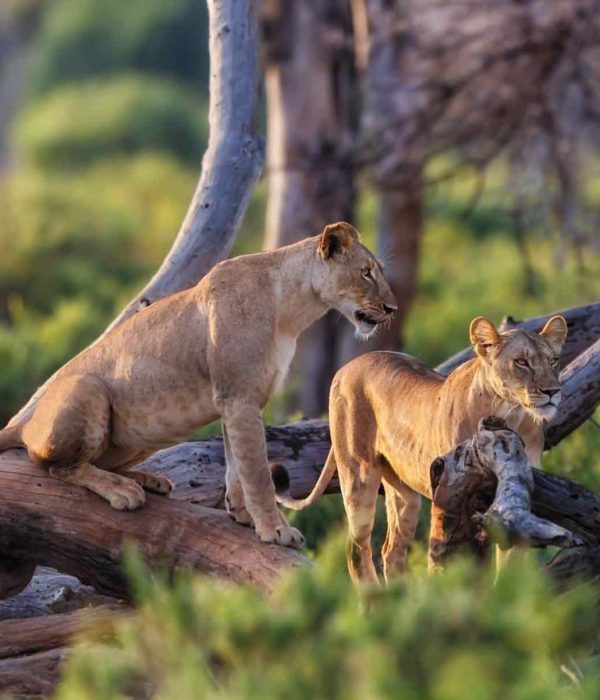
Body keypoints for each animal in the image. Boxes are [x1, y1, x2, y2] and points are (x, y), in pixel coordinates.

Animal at [0, 222, 396, 549]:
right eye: (365, 273)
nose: (392, 309)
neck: (292, 309)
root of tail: (22, 424)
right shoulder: (240, 398)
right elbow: (257, 471)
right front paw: (276, 529)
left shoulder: (236, 400)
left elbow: (236, 463)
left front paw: (242, 514)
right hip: (88, 388)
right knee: (57, 467)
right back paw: (123, 490)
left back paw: (148, 480)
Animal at [273, 314, 567, 572]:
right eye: (521, 362)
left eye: (554, 360)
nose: (553, 391)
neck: (510, 412)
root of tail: (345, 367)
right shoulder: (450, 489)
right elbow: (445, 554)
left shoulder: (516, 499)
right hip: (359, 473)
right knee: (356, 548)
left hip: (403, 492)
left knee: (391, 551)